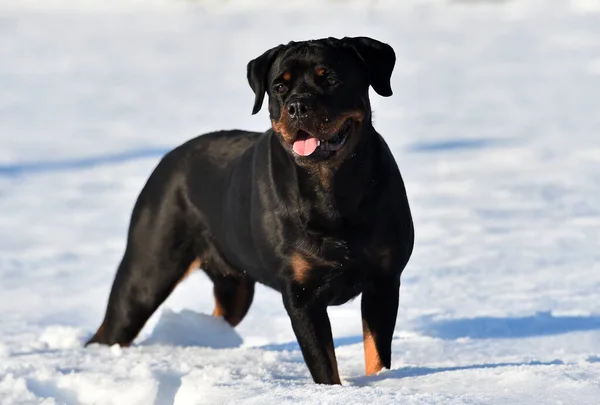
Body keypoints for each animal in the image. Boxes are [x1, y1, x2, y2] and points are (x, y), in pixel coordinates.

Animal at [88, 36, 412, 384]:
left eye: (330, 79)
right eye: (279, 87)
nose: (297, 106)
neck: (332, 188)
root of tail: (167, 161)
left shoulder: (384, 282)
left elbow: (377, 354)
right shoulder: (301, 296)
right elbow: (325, 366)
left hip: (234, 287)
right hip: (147, 272)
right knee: (111, 327)